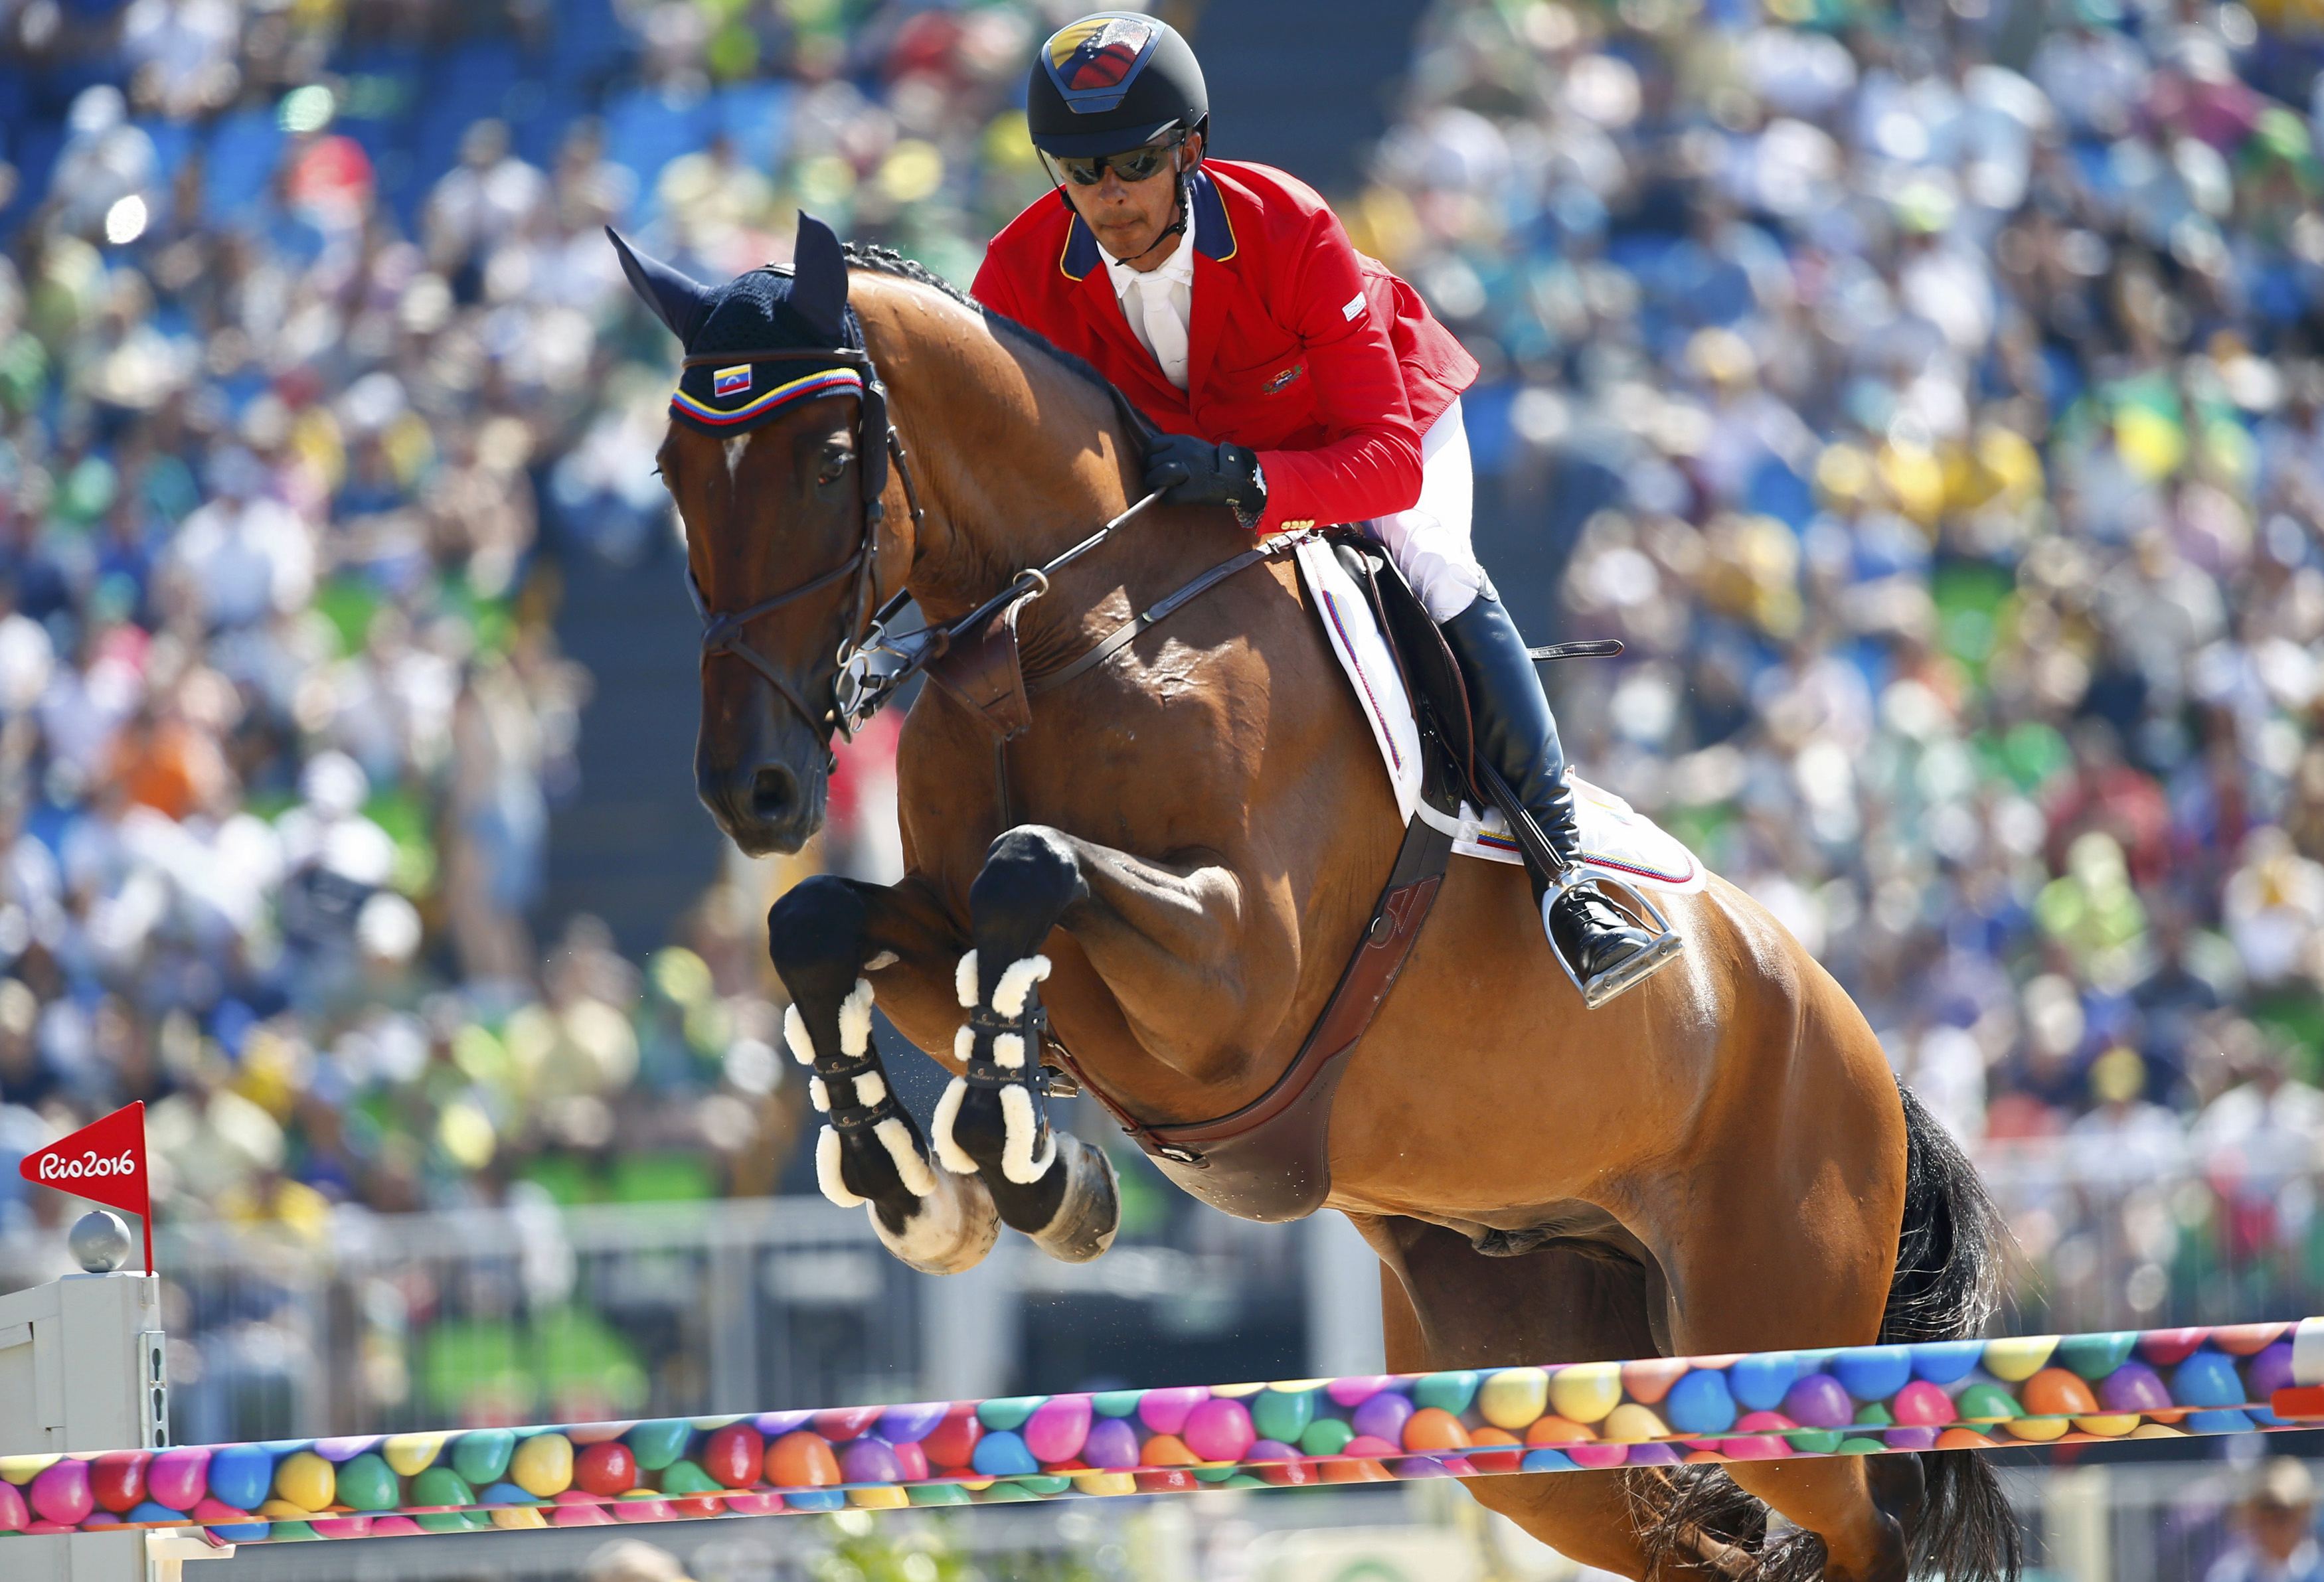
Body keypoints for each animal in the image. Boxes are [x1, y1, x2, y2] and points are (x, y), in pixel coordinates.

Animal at [614, 212, 2017, 1579]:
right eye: (674, 474)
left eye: (825, 461)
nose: (755, 791)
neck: (1067, 629)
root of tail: (1851, 1038)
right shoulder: (955, 934)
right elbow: (822, 924)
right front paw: (919, 1185)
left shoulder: (1235, 980)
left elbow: (1034, 865)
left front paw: (1022, 1166)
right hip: (1540, 1388)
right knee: (1696, 1537)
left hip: (1766, 1323)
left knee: (1866, 1524)